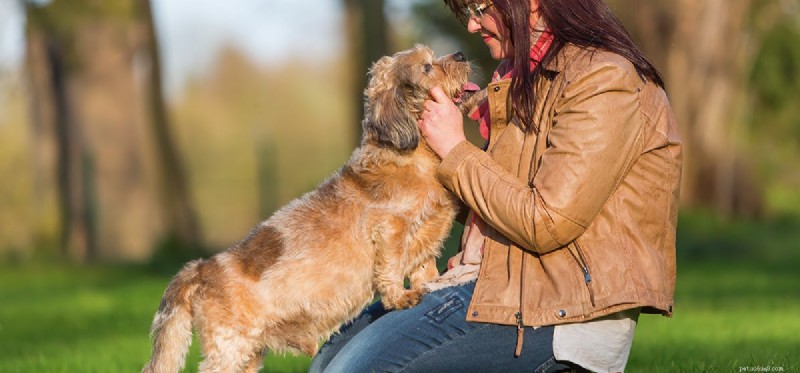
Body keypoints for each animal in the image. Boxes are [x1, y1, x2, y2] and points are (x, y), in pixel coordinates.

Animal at [141, 44, 478, 372]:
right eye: (427, 66)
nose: (461, 54)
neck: (413, 157)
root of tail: (201, 268)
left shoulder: (427, 231)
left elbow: (423, 265)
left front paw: (432, 284)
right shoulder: (391, 228)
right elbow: (392, 266)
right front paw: (401, 297)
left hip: (249, 356)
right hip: (230, 350)